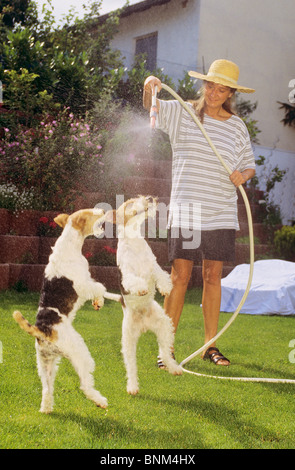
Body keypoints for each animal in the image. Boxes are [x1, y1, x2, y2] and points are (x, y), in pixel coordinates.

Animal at [12, 208, 119, 412]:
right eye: (92, 213)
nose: (104, 210)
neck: (70, 243)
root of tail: (43, 331)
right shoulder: (83, 284)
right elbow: (100, 287)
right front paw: (102, 300)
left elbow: (99, 289)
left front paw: (98, 303)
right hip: (79, 352)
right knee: (85, 384)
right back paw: (100, 401)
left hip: (45, 363)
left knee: (46, 390)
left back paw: (46, 409)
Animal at [106, 196, 183, 396]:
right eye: (130, 203)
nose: (150, 198)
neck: (134, 242)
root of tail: (144, 326)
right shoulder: (127, 274)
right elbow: (134, 281)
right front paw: (141, 289)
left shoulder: (153, 266)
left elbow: (161, 275)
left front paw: (165, 288)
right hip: (128, 342)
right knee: (131, 368)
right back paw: (132, 387)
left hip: (164, 326)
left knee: (165, 352)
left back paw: (174, 368)